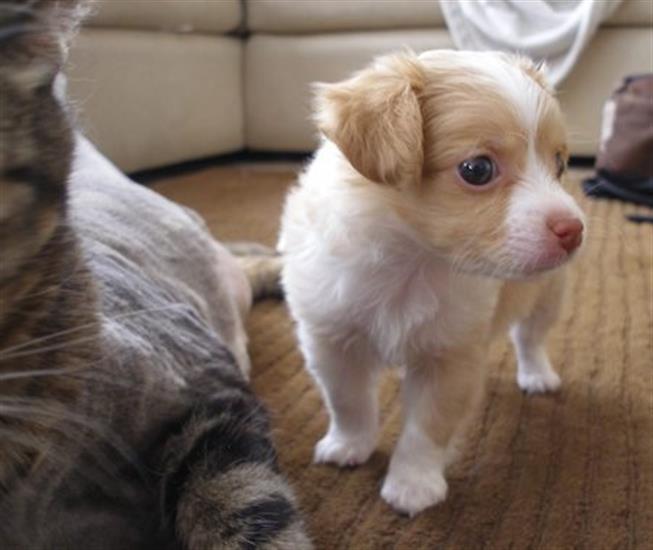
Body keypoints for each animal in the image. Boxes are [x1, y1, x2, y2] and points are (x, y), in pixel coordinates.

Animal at [278, 50, 584, 516]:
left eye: (560, 165)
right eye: (477, 169)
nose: (574, 230)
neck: (412, 261)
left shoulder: (449, 357)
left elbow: (426, 428)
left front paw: (412, 484)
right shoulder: (331, 341)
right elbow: (347, 402)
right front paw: (349, 445)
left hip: (548, 294)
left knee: (530, 338)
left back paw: (537, 375)